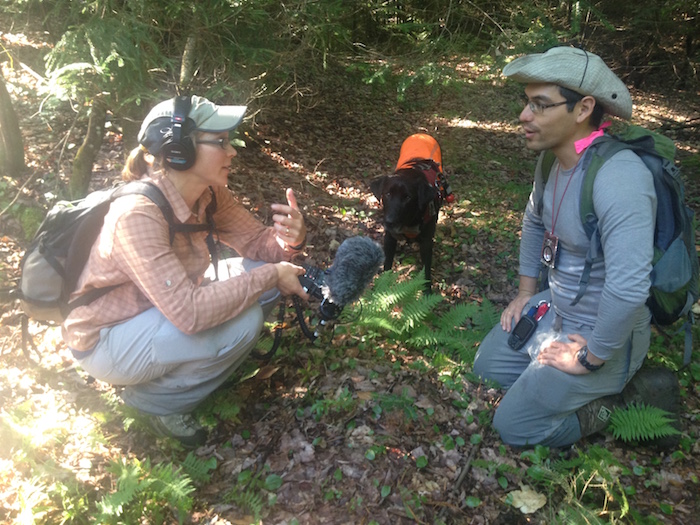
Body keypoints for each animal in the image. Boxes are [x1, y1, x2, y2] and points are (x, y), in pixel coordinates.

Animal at [372, 133, 454, 292]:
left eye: (408, 197)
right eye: (388, 194)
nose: (389, 221)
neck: (409, 221)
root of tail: (422, 134)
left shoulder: (427, 243)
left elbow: (426, 272)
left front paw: (427, 293)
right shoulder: (389, 237)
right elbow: (387, 265)